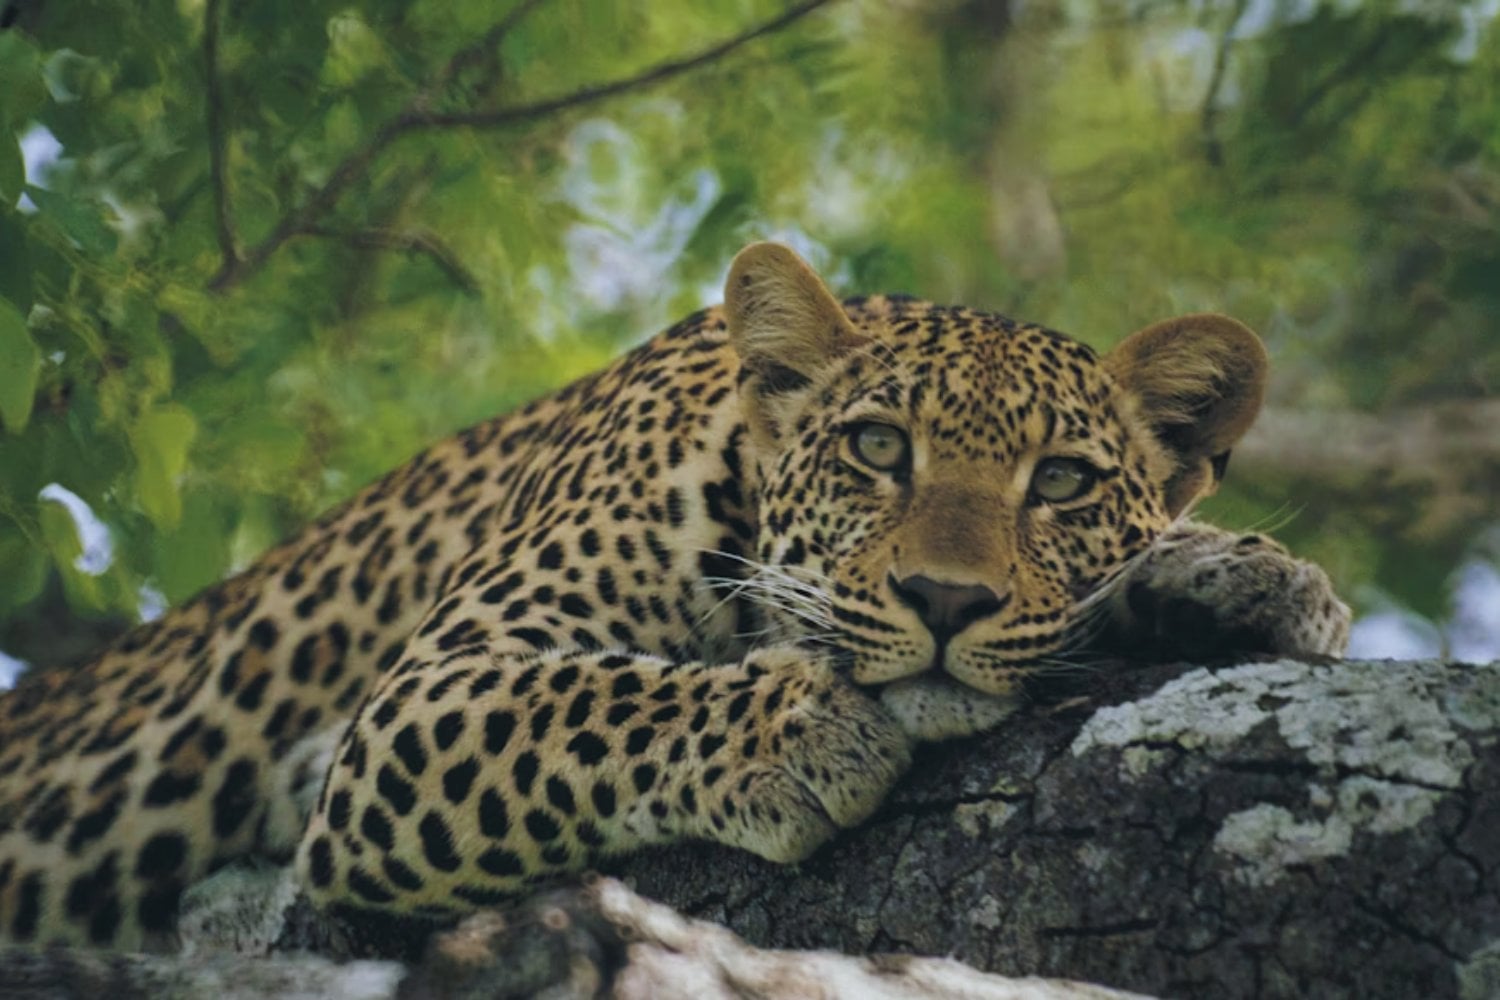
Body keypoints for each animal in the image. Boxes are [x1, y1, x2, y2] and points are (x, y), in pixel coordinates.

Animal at [0, 242, 1350, 950]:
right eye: (876, 449)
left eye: (1061, 481)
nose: (943, 599)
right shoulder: (418, 699)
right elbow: (586, 701)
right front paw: (794, 731)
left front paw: (1247, 575)